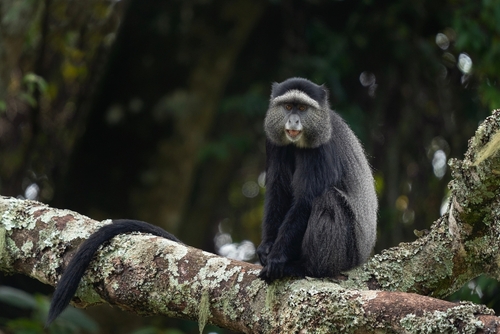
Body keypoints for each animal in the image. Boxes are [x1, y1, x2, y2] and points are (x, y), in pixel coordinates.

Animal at [256, 77, 376, 280]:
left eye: (302, 108)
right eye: (288, 106)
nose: (294, 120)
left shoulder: (322, 150)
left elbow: (305, 201)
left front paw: (277, 258)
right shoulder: (274, 144)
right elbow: (278, 192)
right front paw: (266, 247)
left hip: (348, 253)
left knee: (327, 200)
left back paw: (306, 268)